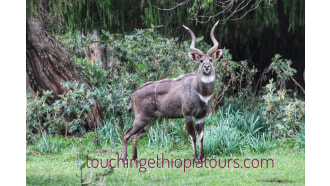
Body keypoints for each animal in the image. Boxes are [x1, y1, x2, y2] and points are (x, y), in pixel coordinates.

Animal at [122, 20, 223, 160]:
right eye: (201, 60)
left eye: (211, 60)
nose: (207, 66)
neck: (200, 92)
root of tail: (133, 94)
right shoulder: (187, 114)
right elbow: (193, 136)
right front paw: (196, 157)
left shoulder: (202, 115)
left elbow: (201, 136)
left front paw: (202, 157)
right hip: (142, 118)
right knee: (127, 133)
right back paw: (125, 158)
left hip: (151, 119)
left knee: (135, 135)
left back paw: (135, 158)